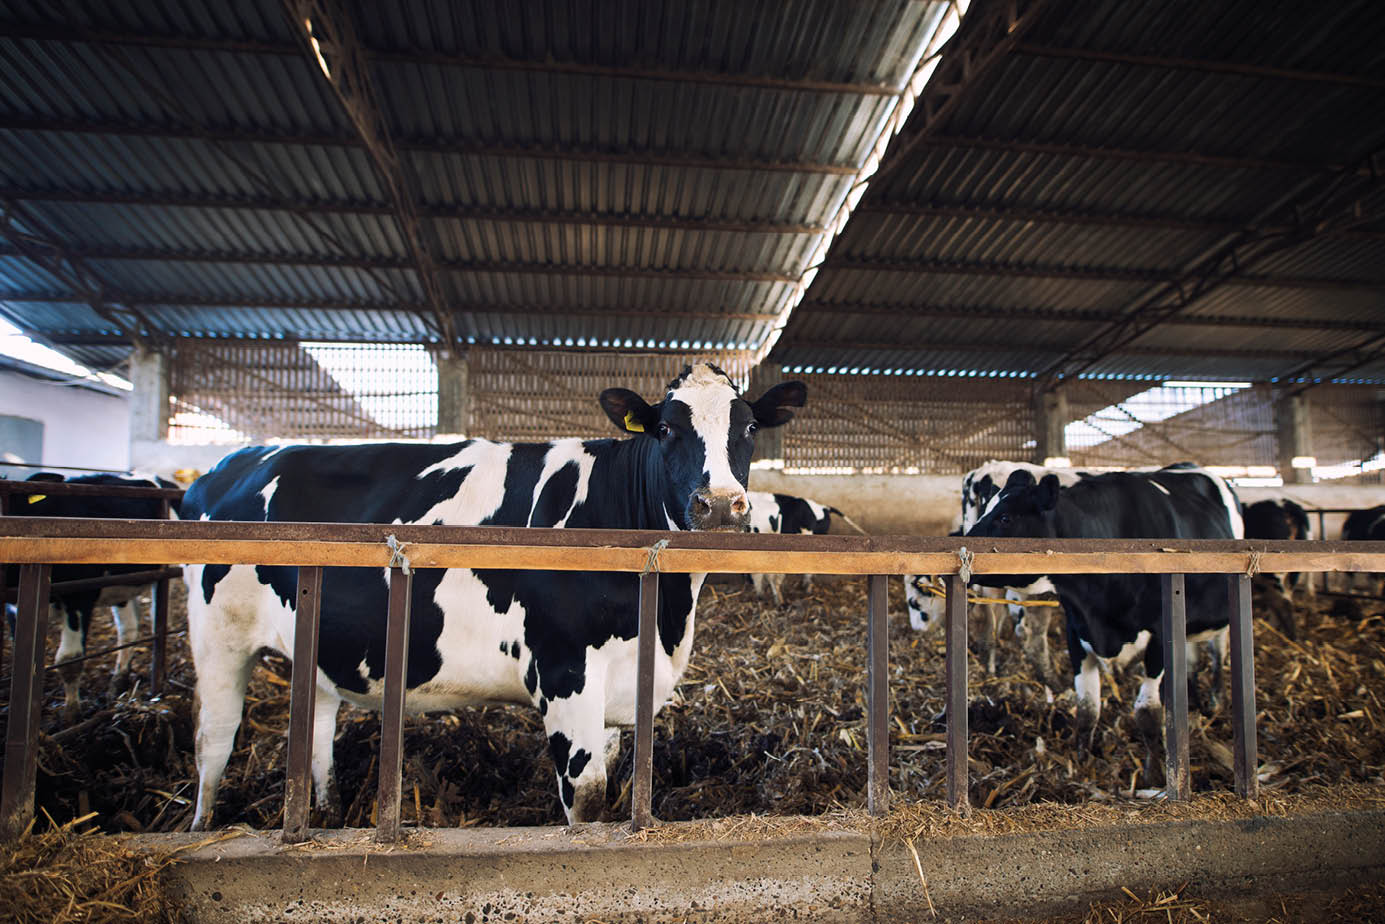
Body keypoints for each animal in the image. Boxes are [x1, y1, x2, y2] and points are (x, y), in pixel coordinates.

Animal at [4, 472, 181, 719]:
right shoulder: (14, 605)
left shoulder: (80, 597)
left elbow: (69, 660)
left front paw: (71, 714)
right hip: (122, 585)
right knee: (129, 629)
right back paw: (119, 679)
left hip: (163, 576)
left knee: (157, 618)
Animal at [179, 363, 806, 830]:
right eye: (667, 430)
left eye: (750, 428)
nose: (720, 504)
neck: (666, 617)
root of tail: (226, 464)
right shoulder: (564, 673)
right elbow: (588, 799)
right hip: (219, 638)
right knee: (214, 739)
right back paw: (203, 826)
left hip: (317, 638)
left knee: (317, 726)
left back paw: (329, 812)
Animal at [966, 464, 1244, 787]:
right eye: (986, 508)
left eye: (1005, 517)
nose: (959, 539)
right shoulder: (1077, 630)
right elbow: (1087, 708)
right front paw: (1082, 765)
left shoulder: (1160, 636)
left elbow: (1147, 713)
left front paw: (1154, 775)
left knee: (1217, 655)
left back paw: (1216, 699)